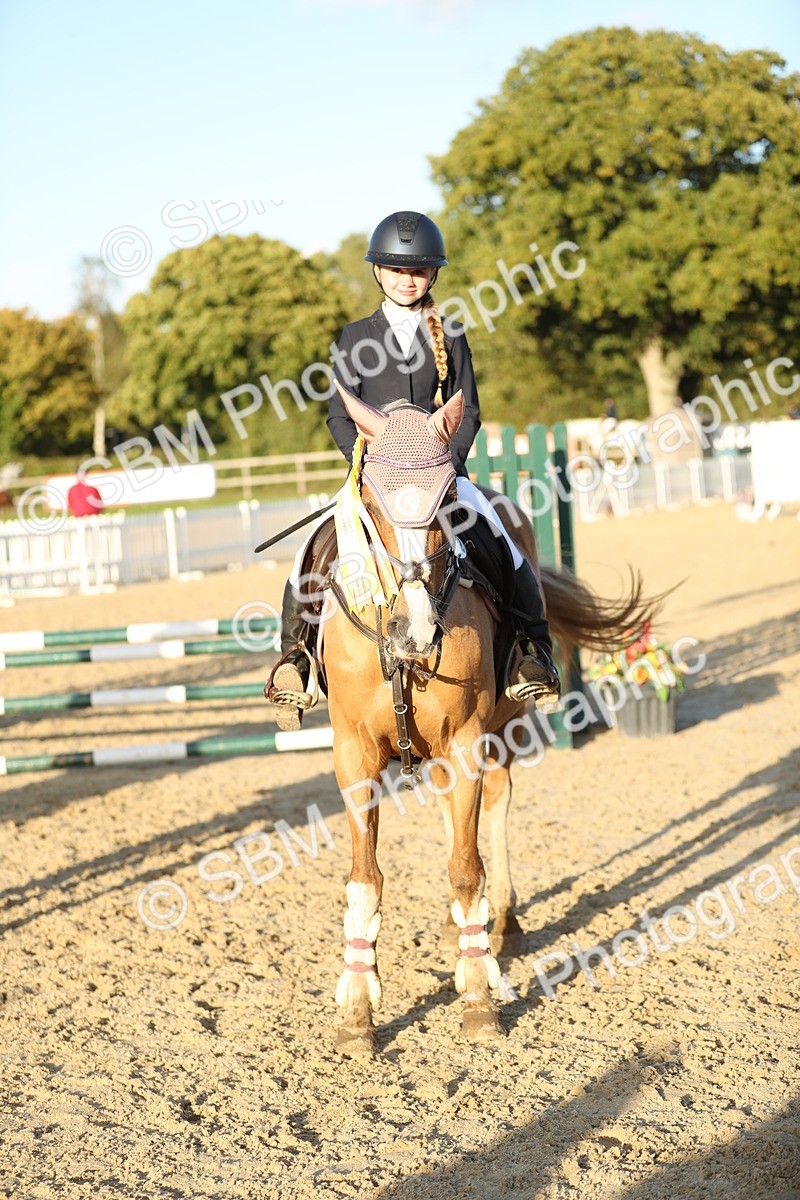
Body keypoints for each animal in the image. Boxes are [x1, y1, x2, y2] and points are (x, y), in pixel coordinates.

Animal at [318, 385, 653, 1055]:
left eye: (447, 501)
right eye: (373, 503)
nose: (416, 633)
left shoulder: (467, 742)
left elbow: (466, 866)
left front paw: (477, 998)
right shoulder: (354, 755)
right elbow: (365, 878)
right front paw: (358, 1012)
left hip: (501, 732)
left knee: (493, 811)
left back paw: (502, 924)